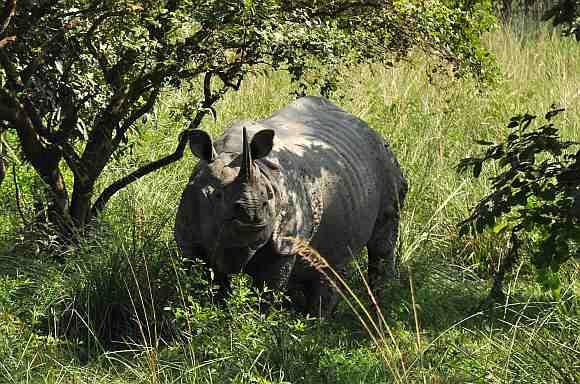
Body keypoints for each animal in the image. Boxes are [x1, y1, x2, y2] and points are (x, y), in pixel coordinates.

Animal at [174, 97, 406, 318]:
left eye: (267, 198)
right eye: (217, 195)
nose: (253, 216)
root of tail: (371, 130)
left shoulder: (285, 242)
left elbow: (268, 290)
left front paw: (258, 323)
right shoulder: (190, 236)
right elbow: (205, 282)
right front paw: (213, 313)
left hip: (386, 167)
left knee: (380, 242)